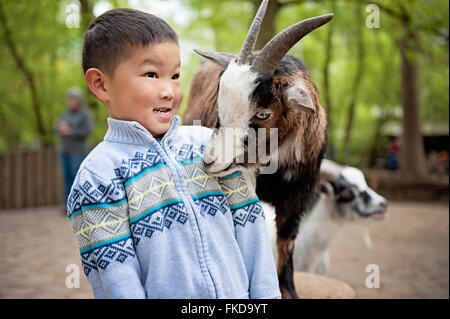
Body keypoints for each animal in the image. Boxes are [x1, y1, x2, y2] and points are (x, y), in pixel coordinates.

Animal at [183, 0, 334, 300]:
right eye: (219, 103)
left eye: (263, 113)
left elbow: (287, 242)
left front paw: (288, 290)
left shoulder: (298, 197)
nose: (210, 160)